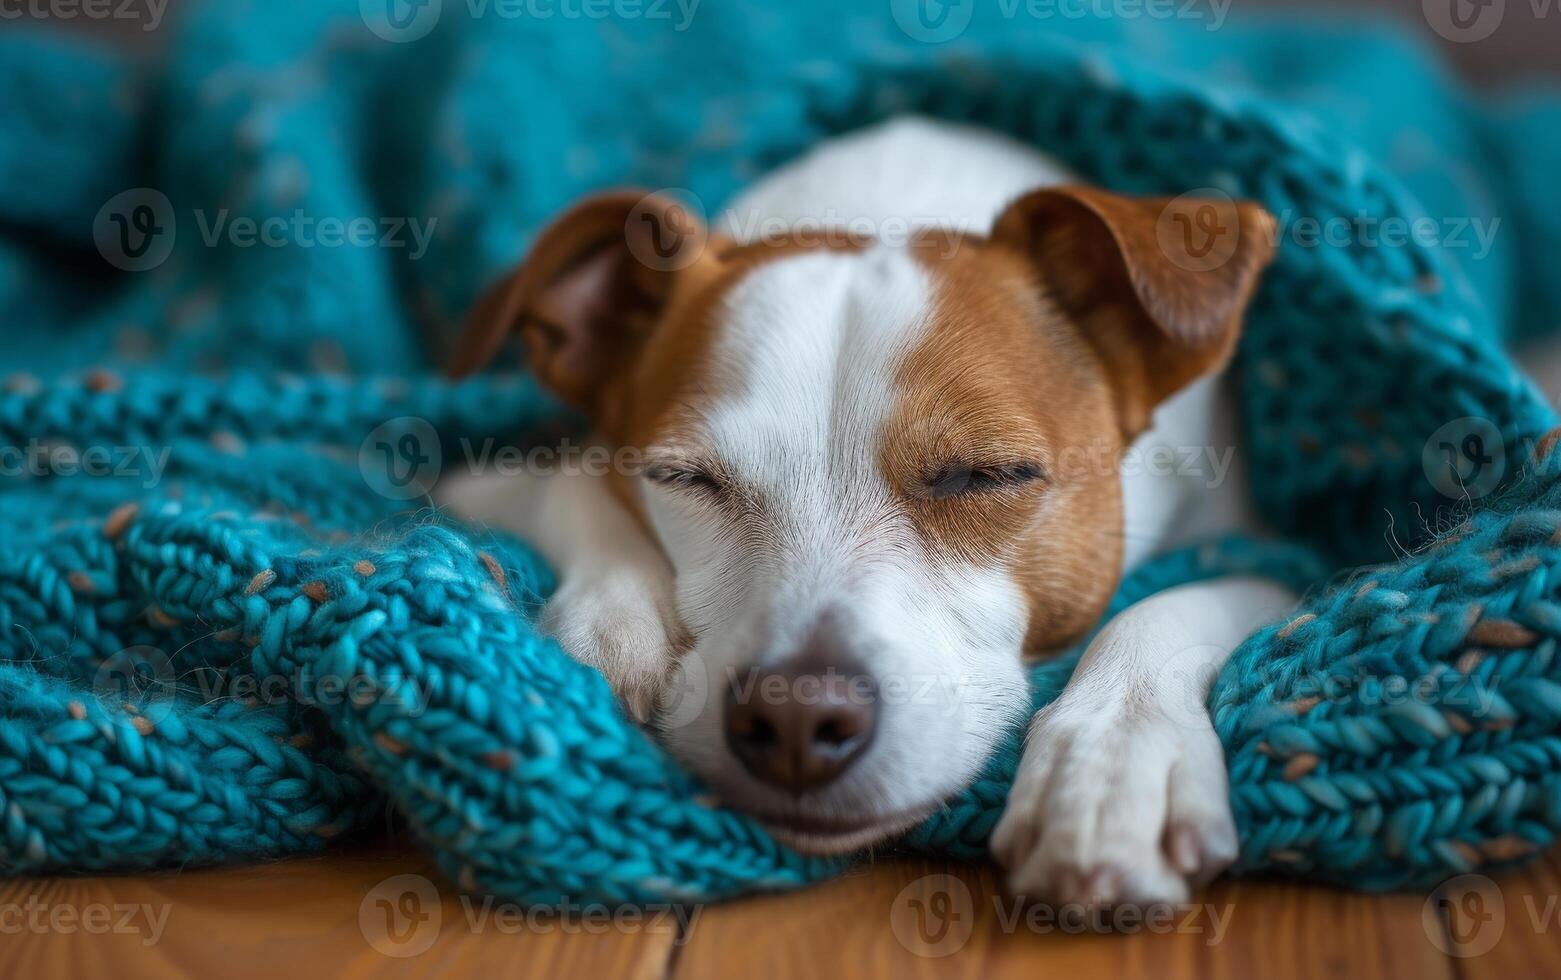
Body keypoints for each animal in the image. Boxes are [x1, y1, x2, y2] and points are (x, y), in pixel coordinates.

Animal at [437, 118, 1292, 905]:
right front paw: (617, 620)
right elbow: (570, 481)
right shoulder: (476, 481)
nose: (794, 723)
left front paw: (1112, 759)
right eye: (684, 478)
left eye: (984, 475)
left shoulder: (1268, 548)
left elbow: (1173, 603)